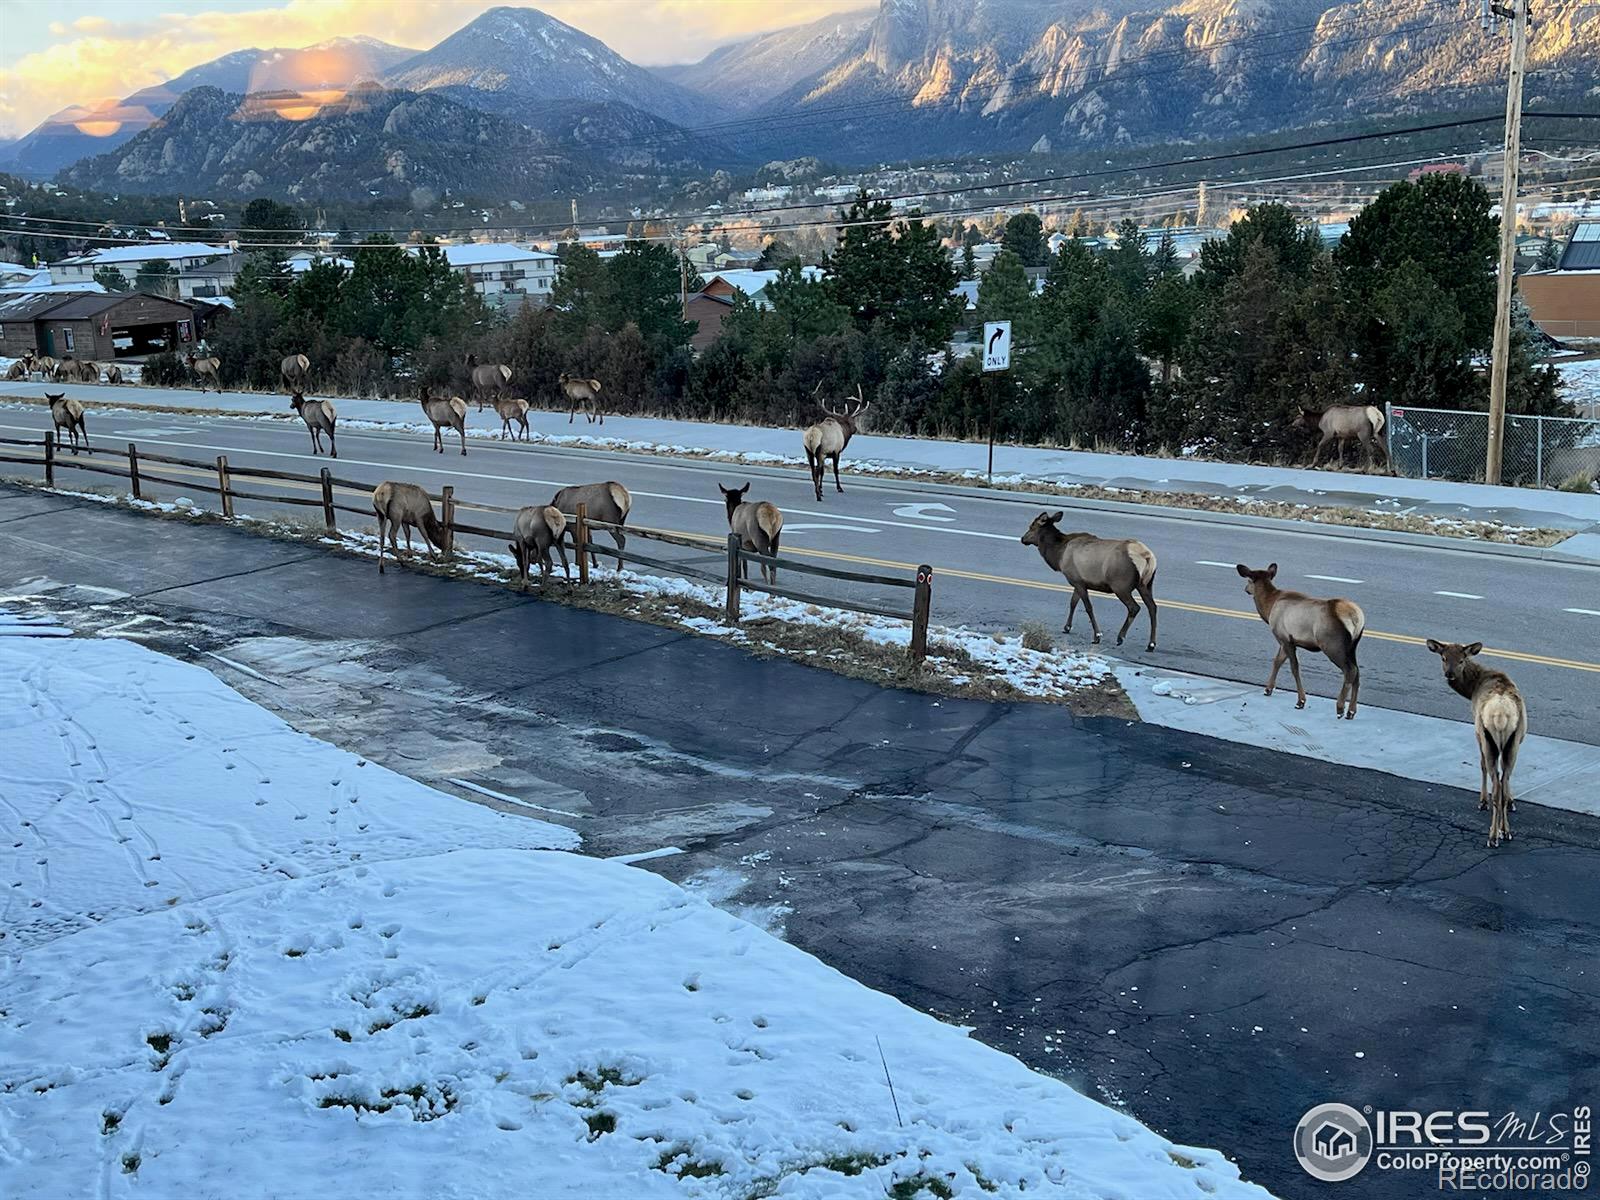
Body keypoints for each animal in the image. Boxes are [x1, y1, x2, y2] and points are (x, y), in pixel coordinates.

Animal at [1017, 512, 1158, 652]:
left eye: (1031, 527)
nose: (1022, 539)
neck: (1059, 555)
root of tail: (1147, 557)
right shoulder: (1078, 581)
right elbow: (1073, 602)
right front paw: (1067, 627)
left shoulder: (1076, 580)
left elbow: (1088, 607)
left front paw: (1097, 636)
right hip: (1146, 584)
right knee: (1152, 607)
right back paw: (1151, 644)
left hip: (1120, 585)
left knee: (1134, 607)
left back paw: (1120, 637)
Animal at [1235, 566, 1363, 723]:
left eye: (1249, 580)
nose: (1245, 588)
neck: (1269, 607)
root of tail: (1357, 617)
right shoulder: (1285, 640)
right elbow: (1277, 661)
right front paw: (1268, 689)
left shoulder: (1285, 638)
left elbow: (1294, 668)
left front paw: (1301, 701)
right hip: (1352, 646)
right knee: (1357, 671)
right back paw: (1351, 711)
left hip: (1332, 644)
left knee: (1350, 670)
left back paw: (1340, 709)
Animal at [1433, 643, 1529, 851]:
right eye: (1443, 657)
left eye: (1462, 660)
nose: (1449, 674)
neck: (1473, 688)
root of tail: (1501, 716)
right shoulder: (1518, 741)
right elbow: (1507, 780)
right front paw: (1512, 802)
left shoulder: (1477, 732)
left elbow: (1481, 764)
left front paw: (1482, 801)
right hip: (1513, 740)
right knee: (1503, 781)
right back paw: (1505, 831)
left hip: (1487, 738)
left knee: (1496, 783)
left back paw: (1493, 836)